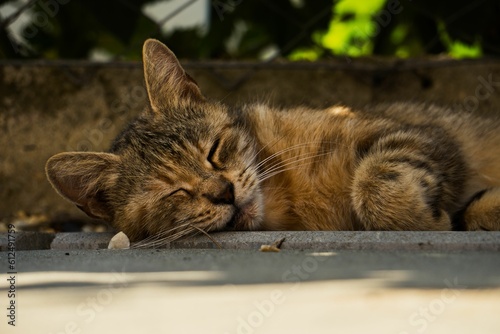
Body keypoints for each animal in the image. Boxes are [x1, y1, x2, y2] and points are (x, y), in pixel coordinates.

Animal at [45, 39, 498, 243]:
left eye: (214, 151)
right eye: (172, 193)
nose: (224, 192)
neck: (289, 202)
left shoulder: (411, 132)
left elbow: (373, 183)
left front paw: (428, 217)